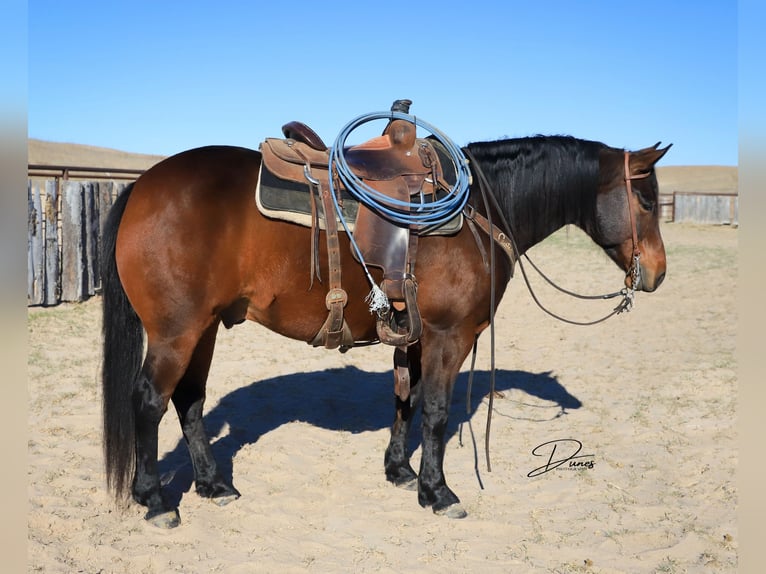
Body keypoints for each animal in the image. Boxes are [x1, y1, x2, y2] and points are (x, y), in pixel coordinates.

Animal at [101, 130, 670, 528]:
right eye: (646, 201)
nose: (658, 274)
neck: (478, 210)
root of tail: (142, 186)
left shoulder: (416, 335)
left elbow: (406, 400)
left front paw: (400, 470)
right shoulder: (449, 335)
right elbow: (436, 412)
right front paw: (438, 493)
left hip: (206, 327)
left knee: (189, 399)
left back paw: (213, 484)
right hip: (177, 330)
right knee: (150, 400)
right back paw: (155, 499)